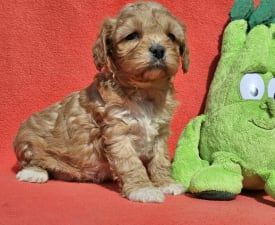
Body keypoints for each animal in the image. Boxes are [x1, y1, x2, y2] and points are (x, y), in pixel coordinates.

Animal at [12, 1, 190, 202]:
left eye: (171, 36)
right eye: (132, 35)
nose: (159, 49)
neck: (145, 90)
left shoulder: (160, 134)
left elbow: (160, 159)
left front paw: (165, 182)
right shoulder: (117, 133)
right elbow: (131, 163)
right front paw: (143, 188)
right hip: (26, 140)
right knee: (31, 161)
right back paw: (33, 173)